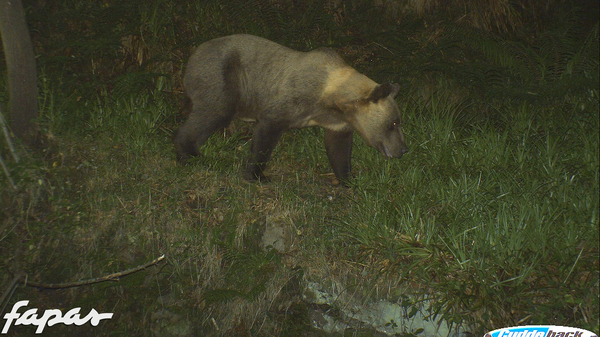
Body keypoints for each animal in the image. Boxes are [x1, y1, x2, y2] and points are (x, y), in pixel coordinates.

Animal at [173, 34, 408, 184]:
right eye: (394, 122)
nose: (404, 149)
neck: (330, 99)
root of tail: (192, 56)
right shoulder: (288, 102)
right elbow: (265, 136)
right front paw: (257, 175)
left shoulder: (336, 122)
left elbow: (338, 149)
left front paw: (348, 178)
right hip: (222, 75)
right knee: (215, 111)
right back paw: (190, 154)